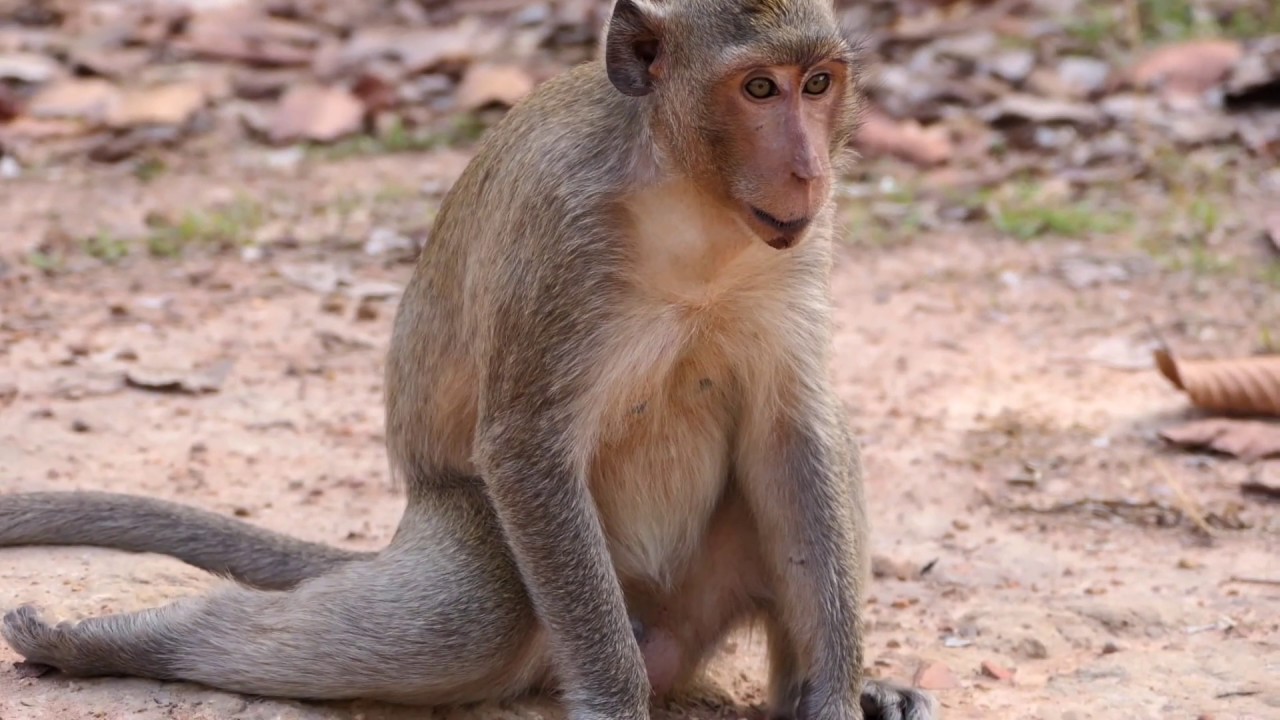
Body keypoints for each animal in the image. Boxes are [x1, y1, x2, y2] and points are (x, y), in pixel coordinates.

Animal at [0, 1, 937, 719]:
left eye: (817, 84)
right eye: (758, 88)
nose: (808, 170)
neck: (686, 193)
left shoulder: (802, 247)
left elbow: (794, 433)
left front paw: (834, 699)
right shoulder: (560, 238)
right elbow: (524, 448)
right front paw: (615, 703)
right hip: (468, 532)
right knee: (469, 616)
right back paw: (118, 645)